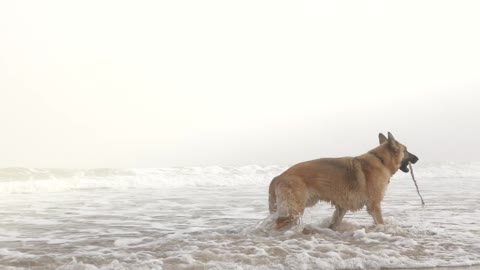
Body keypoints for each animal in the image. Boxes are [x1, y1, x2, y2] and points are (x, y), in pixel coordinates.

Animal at [268, 132, 418, 230]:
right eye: (406, 150)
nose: (417, 158)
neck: (381, 160)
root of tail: (278, 176)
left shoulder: (342, 208)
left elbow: (334, 223)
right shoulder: (374, 206)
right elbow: (380, 222)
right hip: (294, 211)